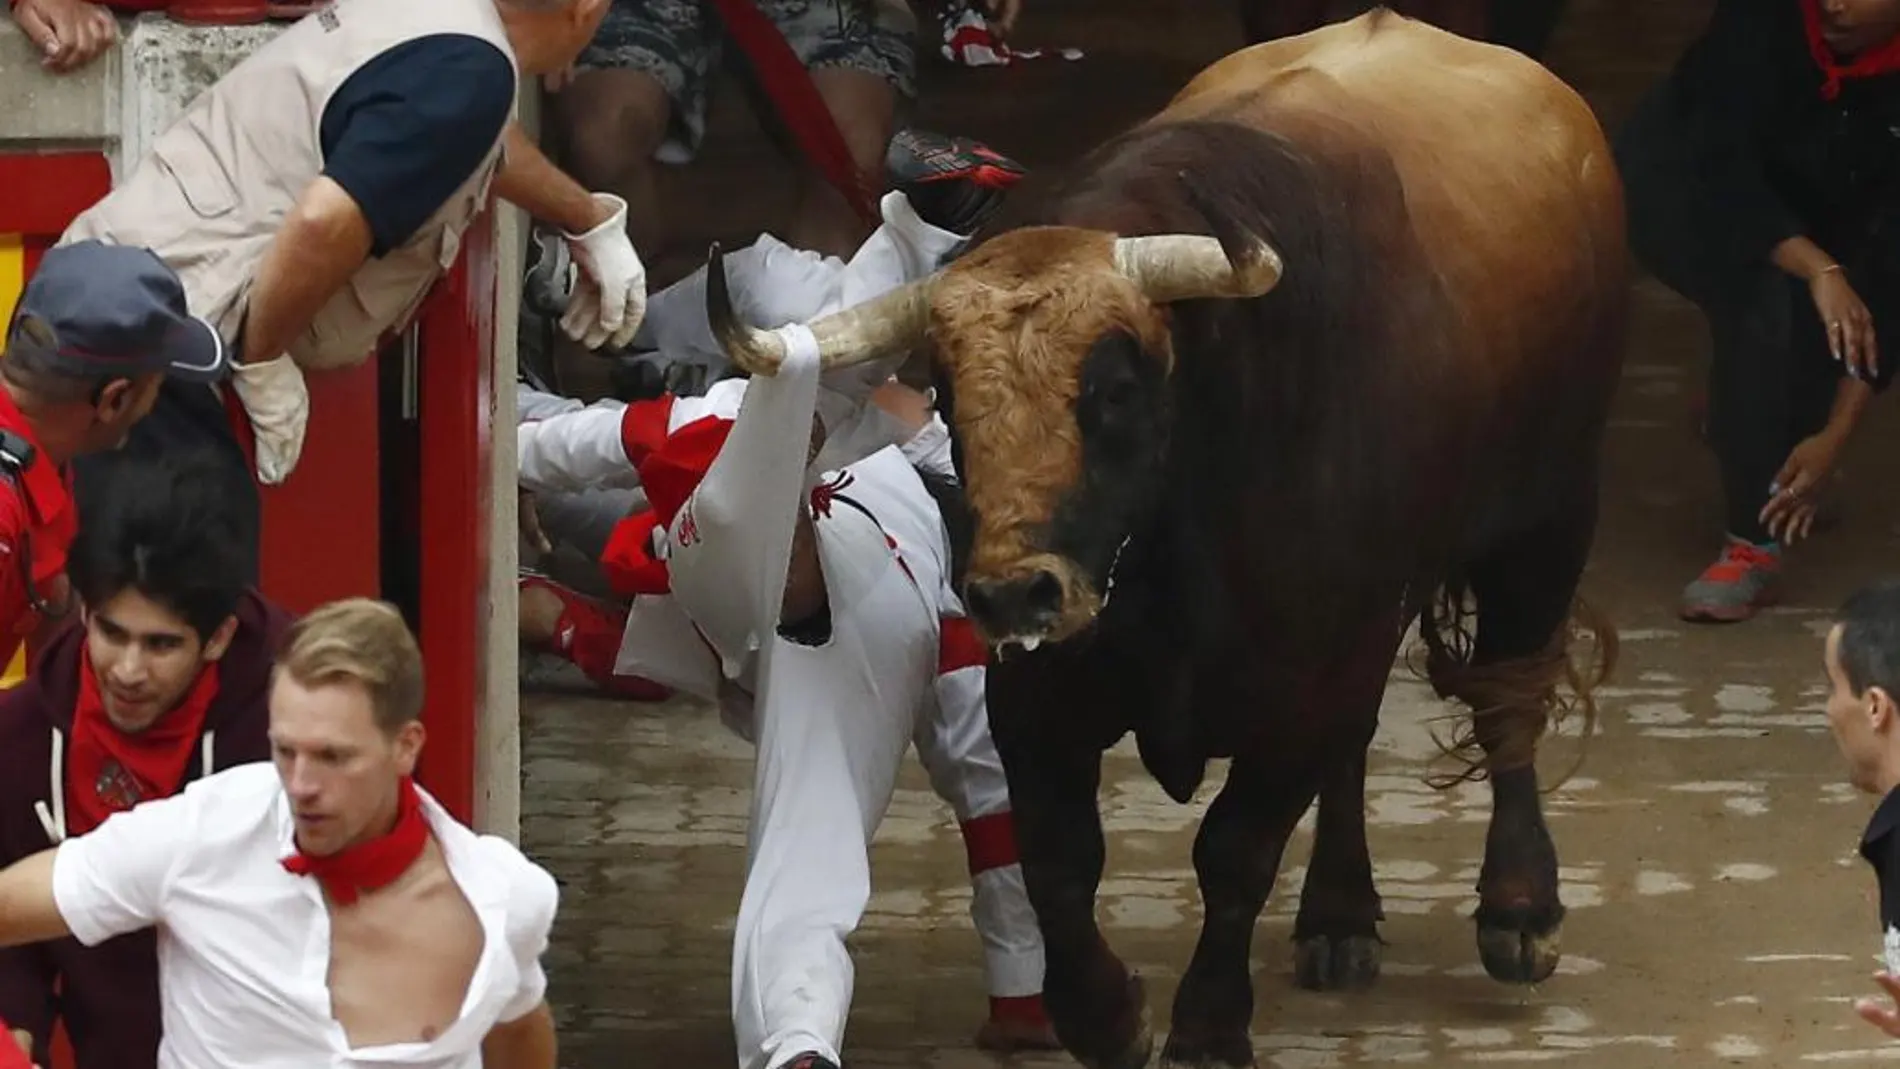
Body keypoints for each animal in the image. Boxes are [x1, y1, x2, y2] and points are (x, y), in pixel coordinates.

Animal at [706, 14, 1626, 1069]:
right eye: (946, 395)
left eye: (1113, 391)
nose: (1015, 593)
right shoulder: (1039, 692)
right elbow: (1060, 860)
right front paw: (1106, 1015)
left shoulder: (1303, 681)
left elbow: (1234, 853)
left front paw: (1210, 1027)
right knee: (1364, 741)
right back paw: (1339, 915)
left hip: (1549, 517)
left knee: (1509, 698)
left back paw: (1518, 906)